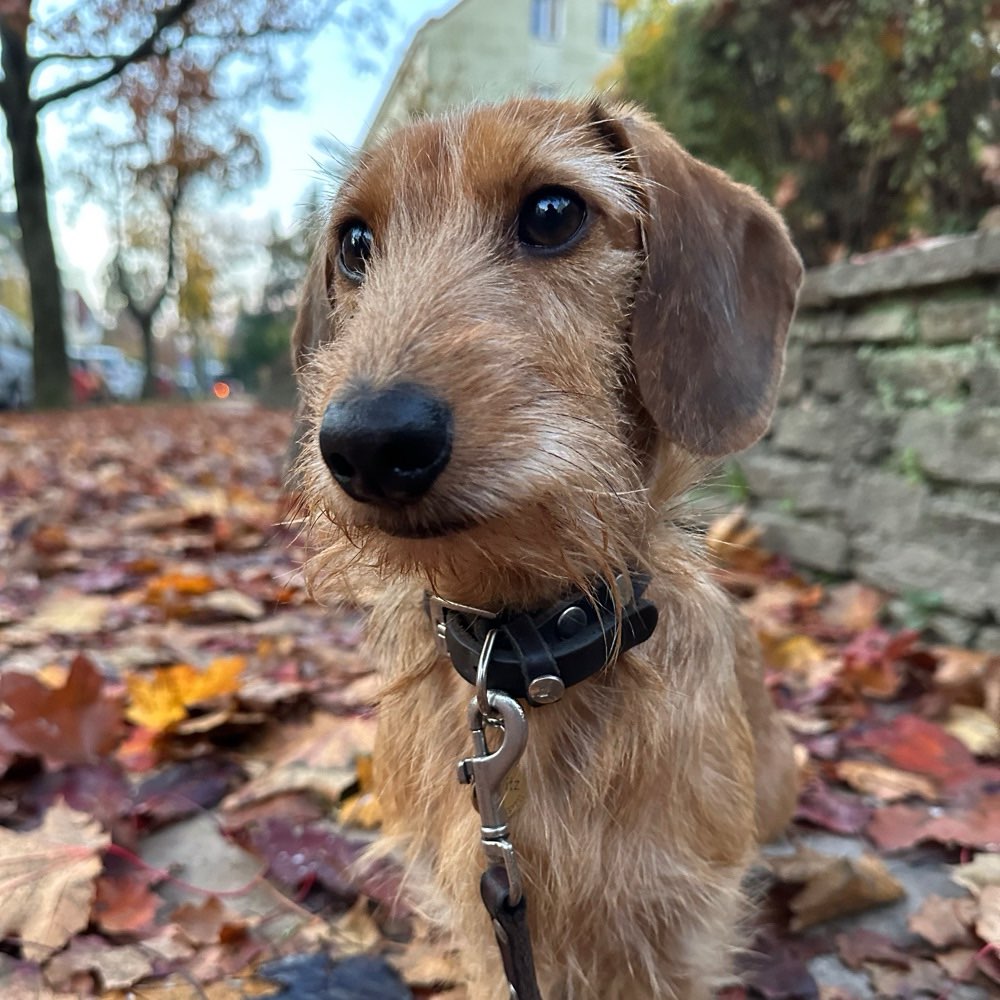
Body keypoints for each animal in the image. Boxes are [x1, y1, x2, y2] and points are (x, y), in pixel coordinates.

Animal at [294, 97, 804, 996]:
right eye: (355, 243)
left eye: (553, 212)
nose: (368, 442)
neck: (521, 645)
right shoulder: (481, 912)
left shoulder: (676, 924)